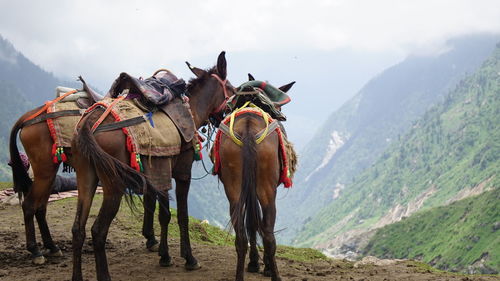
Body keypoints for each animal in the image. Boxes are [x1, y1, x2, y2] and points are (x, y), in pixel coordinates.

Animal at [70, 50, 234, 280]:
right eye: (233, 90)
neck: (191, 109)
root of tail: (88, 124)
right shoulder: (182, 173)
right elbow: (181, 215)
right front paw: (189, 258)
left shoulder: (161, 171)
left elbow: (164, 215)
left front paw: (164, 255)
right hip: (113, 185)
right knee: (98, 231)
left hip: (86, 178)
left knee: (78, 229)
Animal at [215, 82, 292, 278]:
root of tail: (248, 129)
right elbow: (258, 224)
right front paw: (260, 264)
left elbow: (251, 223)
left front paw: (254, 263)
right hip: (266, 190)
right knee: (268, 234)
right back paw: (273, 273)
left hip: (234, 189)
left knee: (241, 236)